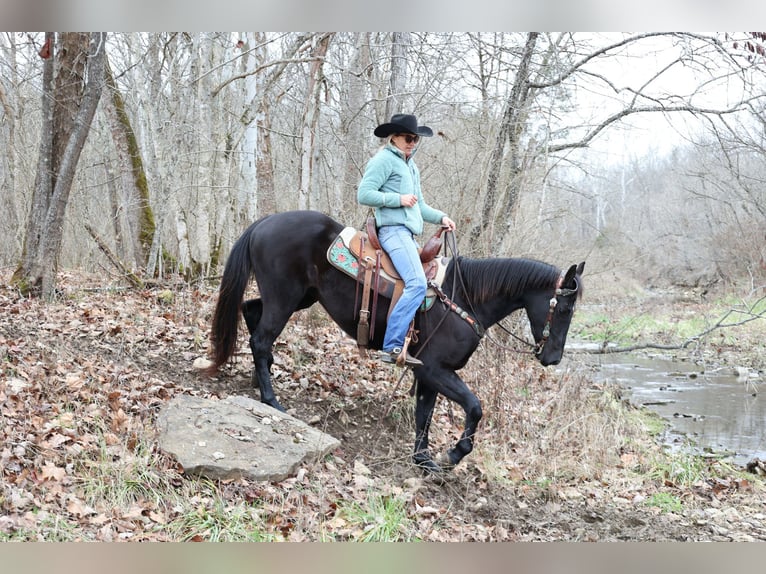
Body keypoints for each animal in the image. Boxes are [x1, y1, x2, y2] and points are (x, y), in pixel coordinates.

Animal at [207, 209, 584, 474]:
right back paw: (272, 400)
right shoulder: (435, 370)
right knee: (261, 339)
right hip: (285, 298)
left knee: (251, 314)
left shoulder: (428, 374)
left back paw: (259, 381)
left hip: (299, 298)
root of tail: (265, 223)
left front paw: (424, 460)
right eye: (564, 308)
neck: (464, 297)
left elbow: (424, 414)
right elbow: (474, 407)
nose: (553, 358)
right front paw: (452, 455)